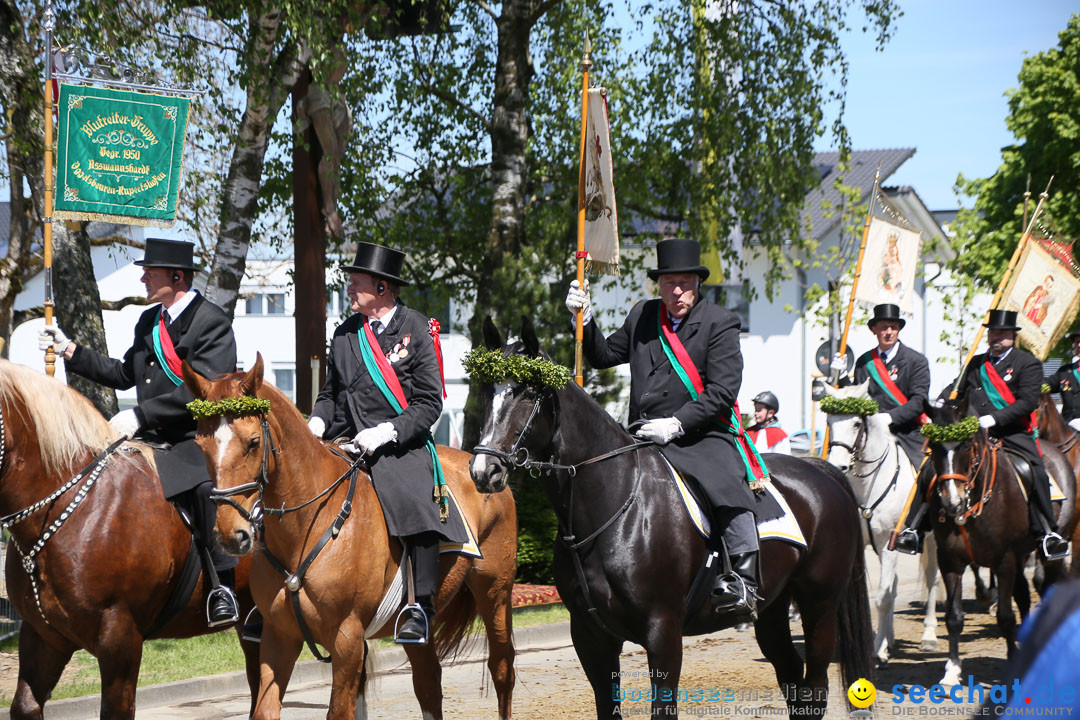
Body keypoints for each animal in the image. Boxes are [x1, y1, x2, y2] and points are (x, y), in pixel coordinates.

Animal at [182, 354, 518, 720]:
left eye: (253, 443)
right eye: (200, 445)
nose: (231, 535)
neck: (306, 525)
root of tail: (483, 468)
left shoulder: (347, 639)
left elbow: (339, 711)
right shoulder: (277, 636)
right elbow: (265, 710)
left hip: (495, 592)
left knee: (502, 669)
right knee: (429, 682)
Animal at [468, 321, 872, 720]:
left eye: (527, 391)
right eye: (486, 390)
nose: (484, 471)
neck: (615, 505)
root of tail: (819, 468)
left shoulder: (662, 631)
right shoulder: (589, 635)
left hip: (819, 604)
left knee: (815, 687)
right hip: (773, 607)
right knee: (791, 676)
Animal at [820, 379, 941, 669]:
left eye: (856, 423)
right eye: (830, 420)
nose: (837, 465)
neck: (866, 483)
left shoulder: (889, 543)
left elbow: (883, 597)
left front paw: (876, 651)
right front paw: (878, 643)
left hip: (932, 539)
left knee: (932, 579)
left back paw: (928, 636)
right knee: (896, 584)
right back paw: (890, 638)